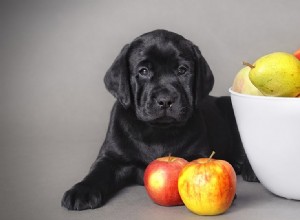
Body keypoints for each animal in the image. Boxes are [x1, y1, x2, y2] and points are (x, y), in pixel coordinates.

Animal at [61, 28, 258, 210]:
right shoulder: (111, 157)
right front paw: (82, 190)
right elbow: (97, 172)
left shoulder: (198, 153)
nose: (165, 100)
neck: (157, 131)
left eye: (182, 70)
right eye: (143, 71)